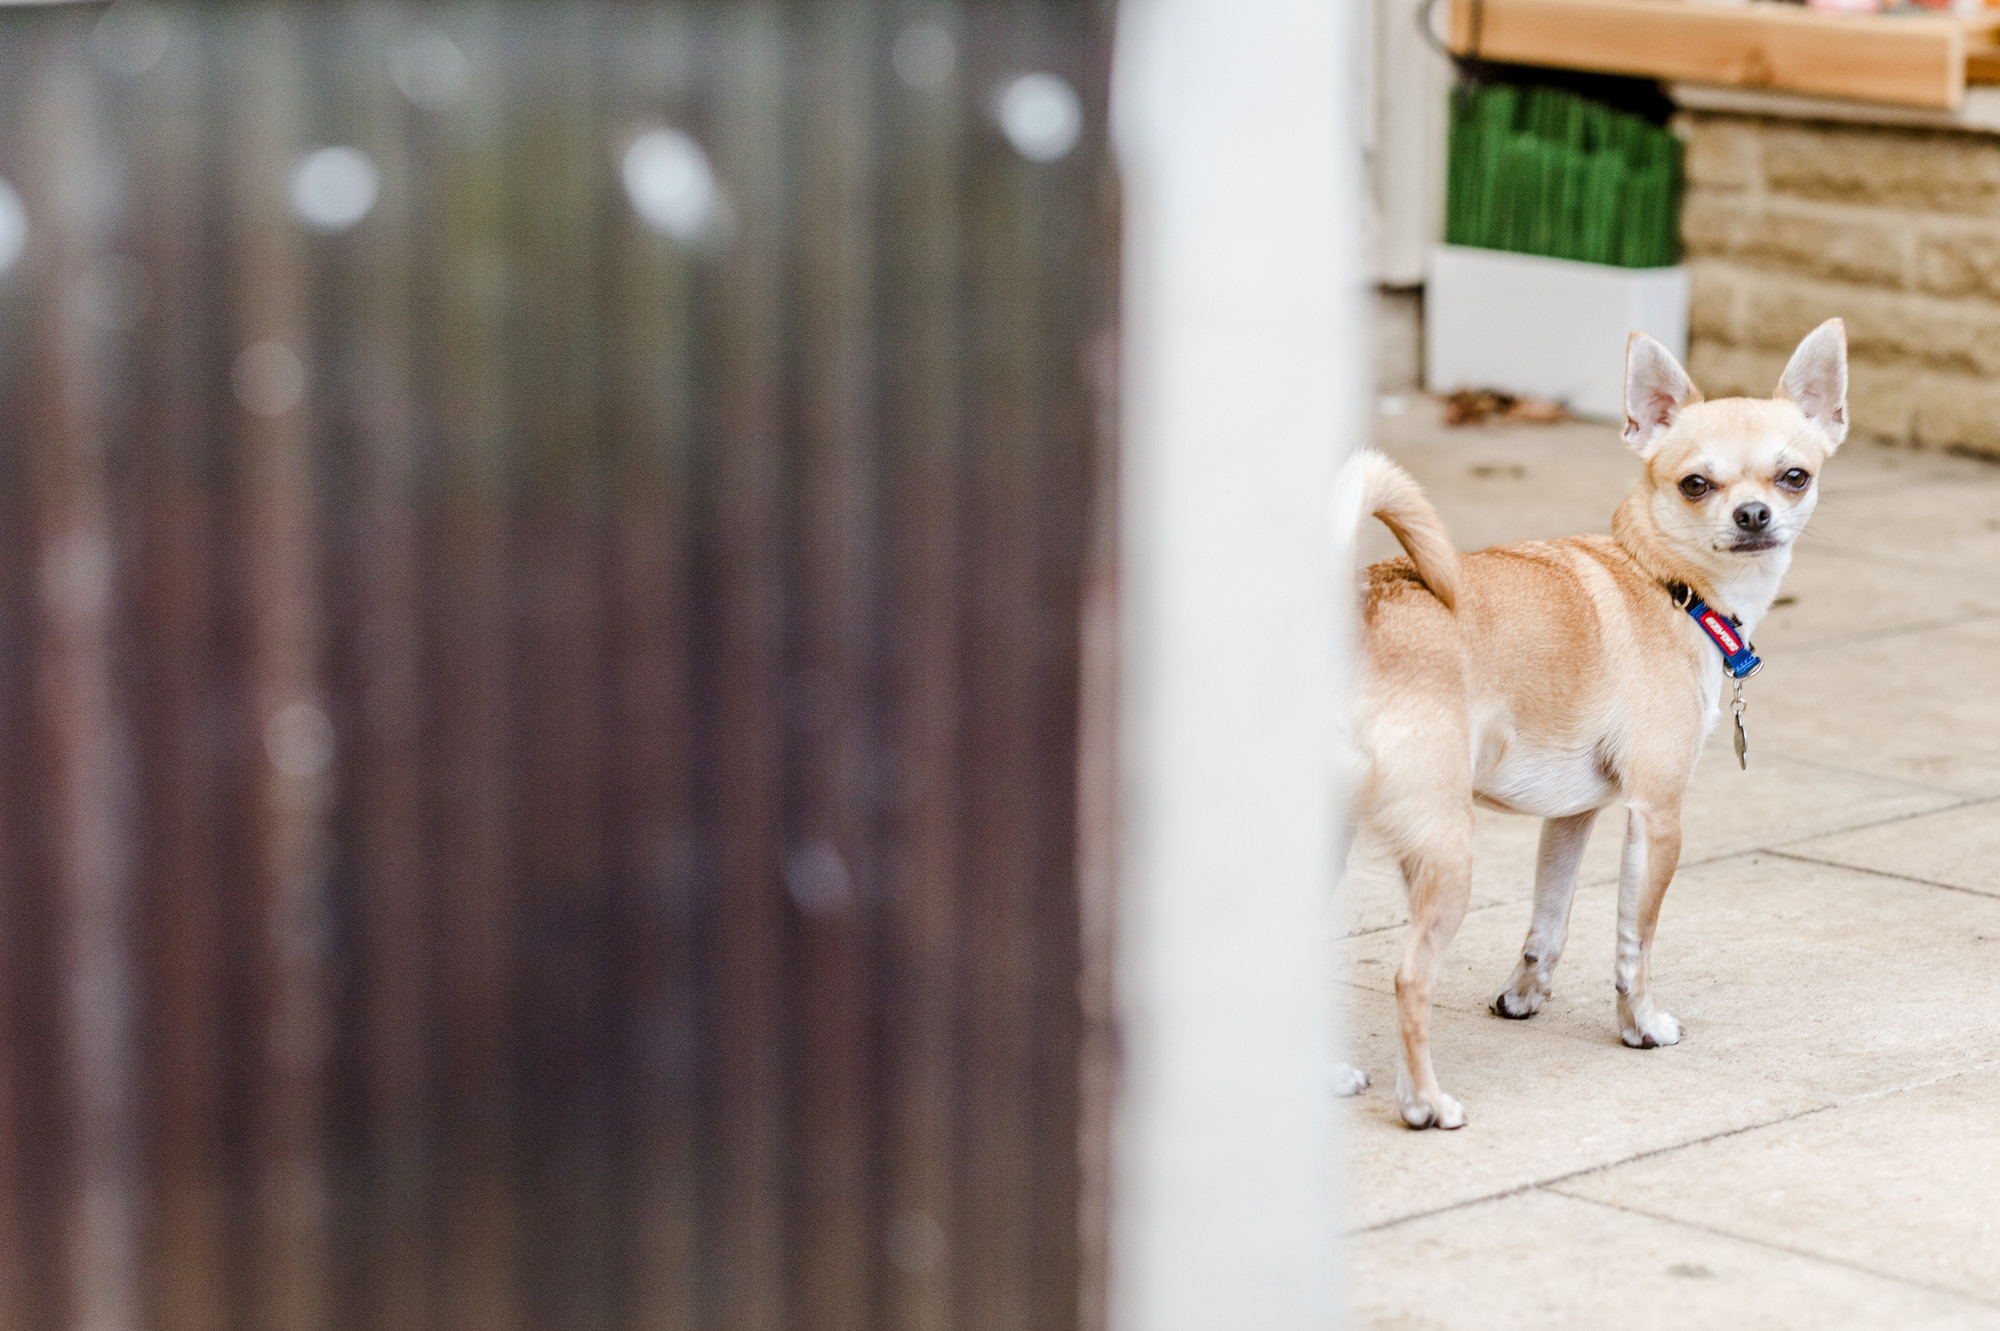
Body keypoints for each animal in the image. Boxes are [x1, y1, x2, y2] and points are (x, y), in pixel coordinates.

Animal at [1336, 319, 1848, 1119]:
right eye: (1695, 484)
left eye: (1793, 476)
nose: (1753, 515)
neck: (1669, 584)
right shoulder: (1656, 813)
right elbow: (1635, 938)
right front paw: (1640, 1026)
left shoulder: (1570, 817)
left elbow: (1550, 920)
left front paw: (1523, 997)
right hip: (1446, 848)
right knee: (1409, 977)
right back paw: (1424, 1104)